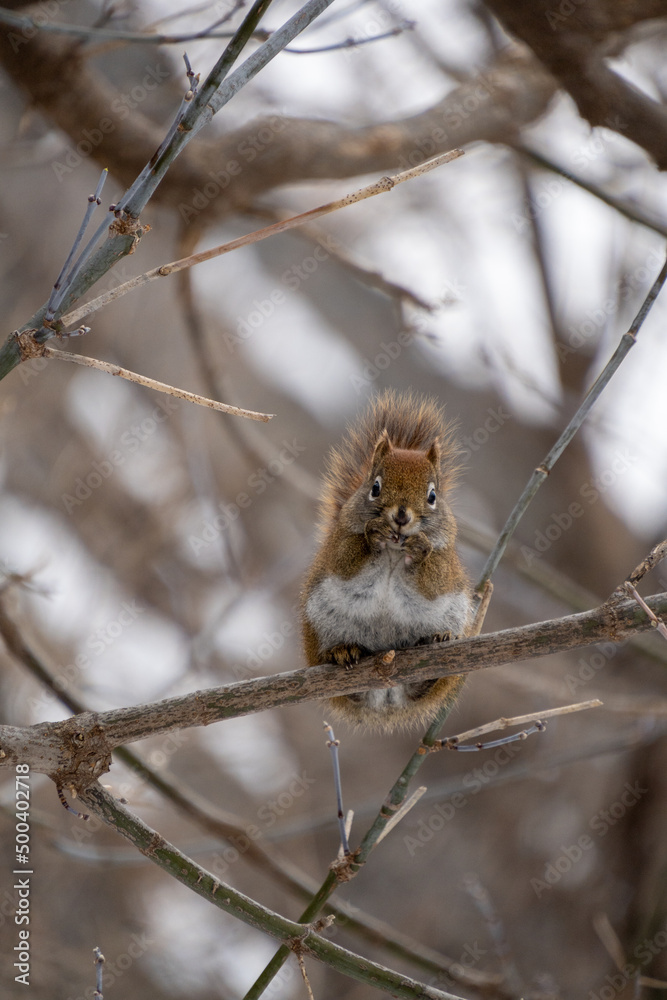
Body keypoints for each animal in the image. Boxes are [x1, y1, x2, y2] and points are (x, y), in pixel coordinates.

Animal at [301, 389, 472, 732]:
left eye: (433, 496)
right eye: (375, 487)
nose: (401, 516)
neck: (394, 551)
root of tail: (385, 700)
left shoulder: (446, 563)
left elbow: (434, 581)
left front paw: (420, 549)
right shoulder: (337, 548)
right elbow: (346, 561)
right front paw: (373, 534)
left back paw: (436, 644)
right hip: (320, 626)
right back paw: (343, 651)